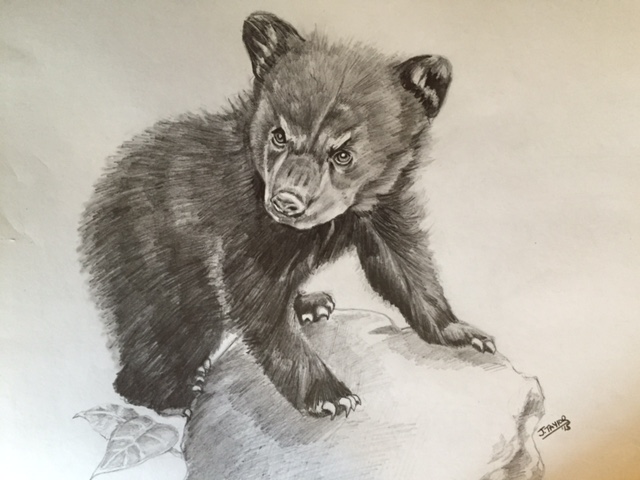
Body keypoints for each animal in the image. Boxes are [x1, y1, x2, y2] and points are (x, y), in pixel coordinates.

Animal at [79, 12, 495, 418]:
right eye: (279, 135)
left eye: (343, 153)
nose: (286, 202)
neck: (338, 216)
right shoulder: (245, 226)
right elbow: (257, 300)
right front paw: (329, 394)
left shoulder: (382, 207)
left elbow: (403, 265)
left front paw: (462, 332)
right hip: (153, 261)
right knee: (166, 331)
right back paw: (174, 394)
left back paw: (309, 303)